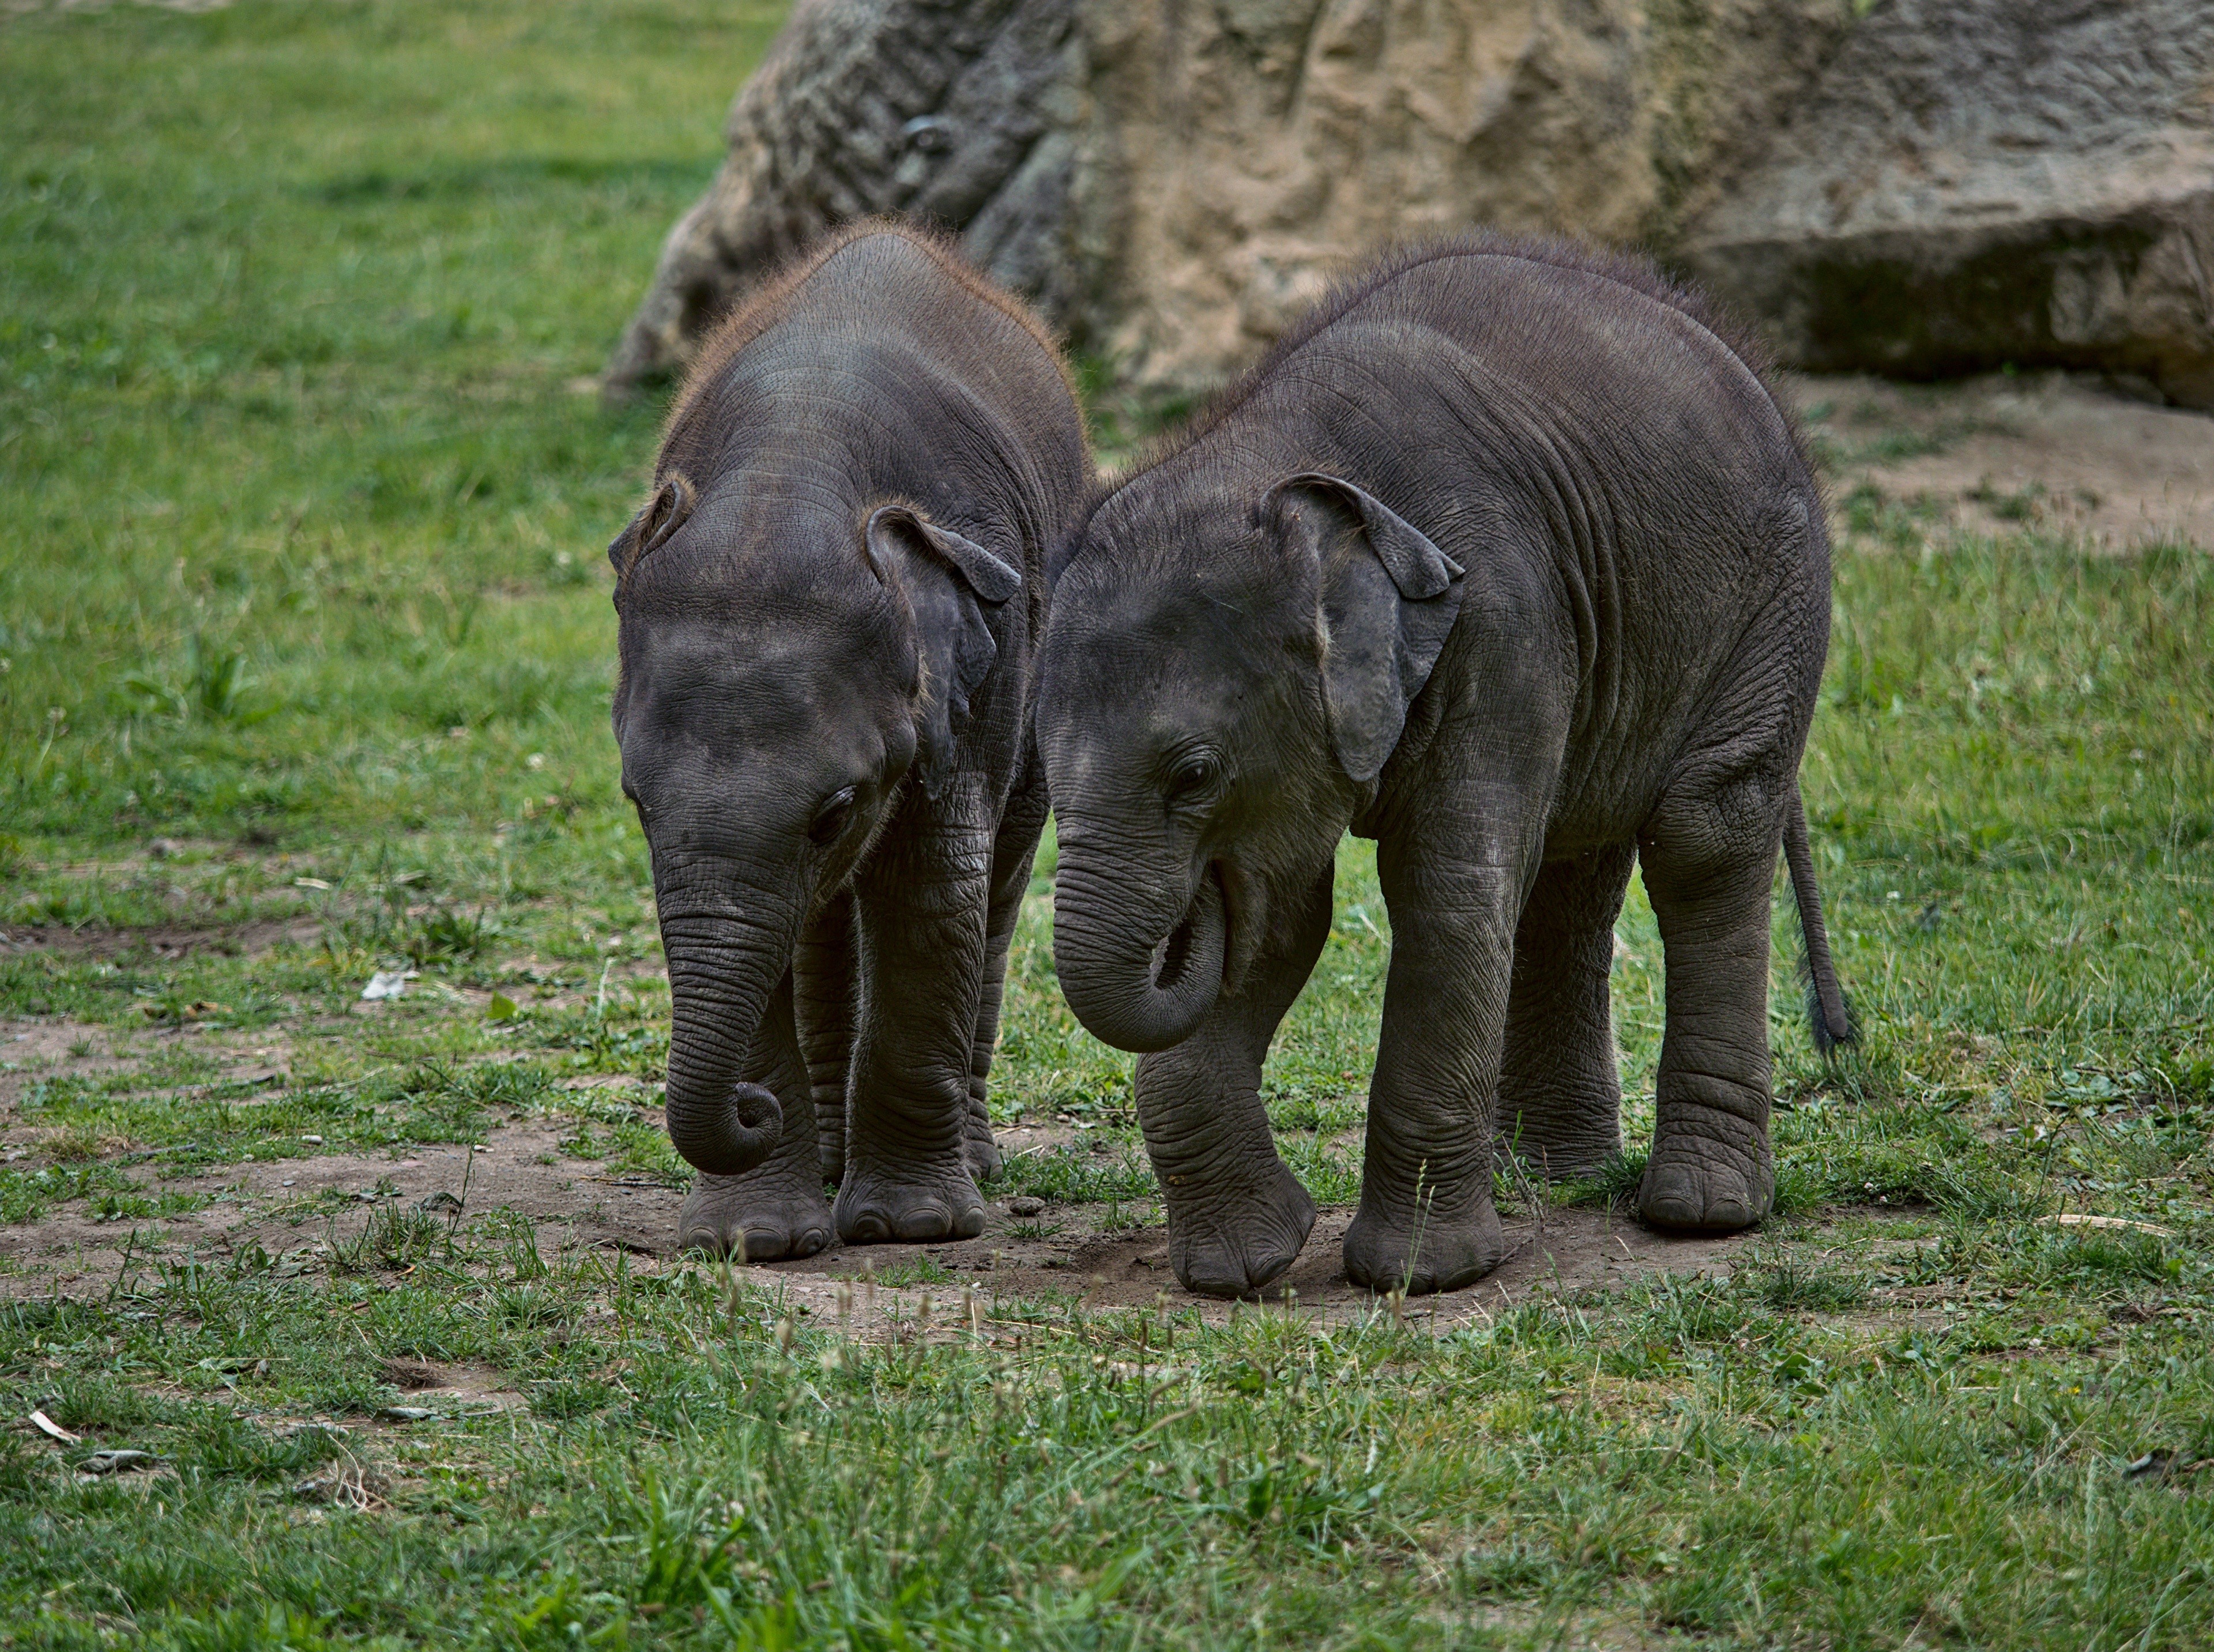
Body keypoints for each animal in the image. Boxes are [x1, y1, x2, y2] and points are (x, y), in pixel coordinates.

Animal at [608, 222, 1089, 1260]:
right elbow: (761, 921)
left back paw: (971, 1162)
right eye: (636, 802)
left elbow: (932, 889)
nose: (747, 1110)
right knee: (822, 923)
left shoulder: (981, 675)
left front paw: (915, 1227)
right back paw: (829, 1157)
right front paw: (753, 1240)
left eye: (835, 811)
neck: (792, 468)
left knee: (994, 887)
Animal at [1035, 233, 1853, 1299]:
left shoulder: (1501, 619)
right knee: (1572, 866)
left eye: (1196, 774)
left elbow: (1444, 891)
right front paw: (1244, 1266)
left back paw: (1697, 1213)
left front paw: (1421, 1277)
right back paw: (1552, 1176)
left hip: (1775, 601)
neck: (1278, 462)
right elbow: (1286, 913)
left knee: (1703, 833)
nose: (1190, 907)